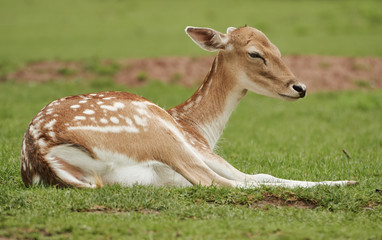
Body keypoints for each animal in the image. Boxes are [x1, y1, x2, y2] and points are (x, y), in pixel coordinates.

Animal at [20, 25, 356, 188]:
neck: (198, 125)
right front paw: (347, 179)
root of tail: (42, 153)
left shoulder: (164, 179)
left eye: (277, 49)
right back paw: (345, 181)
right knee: (222, 183)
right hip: (157, 133)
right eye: (255, 53)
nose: (300, 88)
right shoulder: (199, 147)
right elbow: (257, 176)